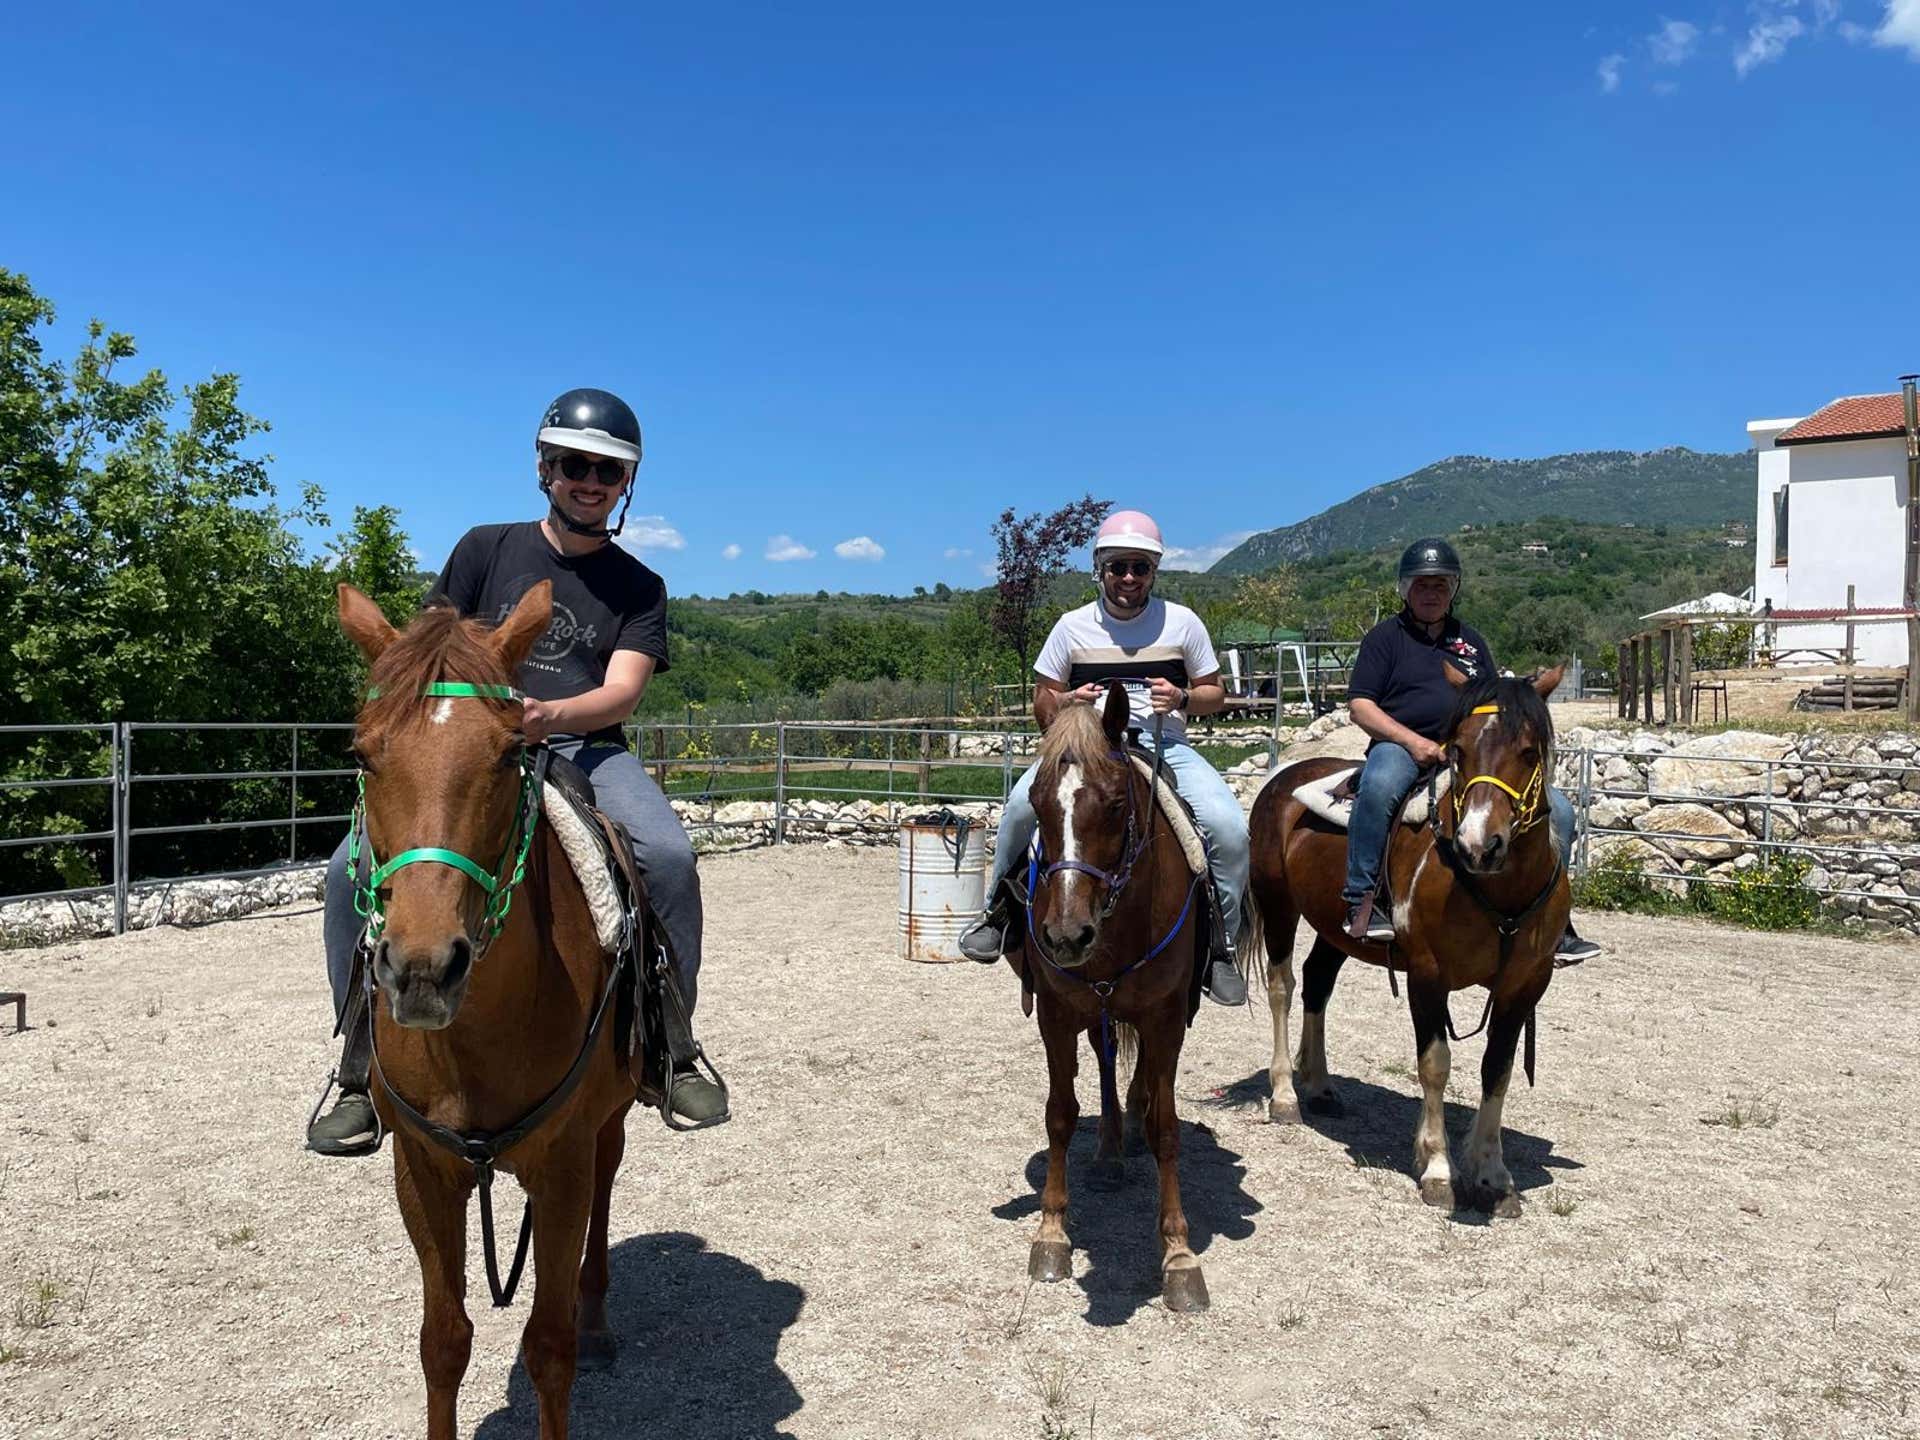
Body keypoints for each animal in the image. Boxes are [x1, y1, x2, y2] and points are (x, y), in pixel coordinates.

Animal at [338, 581, 640, 1440]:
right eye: (362, 753)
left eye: (509, 754)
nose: (422, 969)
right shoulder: (421, 1169)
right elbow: (443, 1340)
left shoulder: (563, 1168)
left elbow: (549, 1347)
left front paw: (576, 1333)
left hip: (607, 1126)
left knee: (608, 1188)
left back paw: (600, 1318)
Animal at [1013, 683, 1215, 1311]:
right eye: (1036, 803)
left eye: (1116, 804)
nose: (1065, 935)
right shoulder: (1056, 1015)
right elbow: (1059, 1115)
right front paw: (1051, 1232)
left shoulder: (1166, 1017)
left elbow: (1168, 1128)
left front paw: (1179, 1256)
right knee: (1106, 1066)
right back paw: (1108, 1149)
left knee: (1141, 1078)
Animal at [1238, 665, 1569, 1216]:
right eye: (1457, 750)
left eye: (1529, 751)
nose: (1479, 846)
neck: (1496, 890)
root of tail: (1281, 781)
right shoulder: (1427, 975)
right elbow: (1434, 1064)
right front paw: (1437, 1168)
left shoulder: (1524, 985)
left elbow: (1497, 1070)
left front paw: (1492, 1175)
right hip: (1279, 906)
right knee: (1283, 987)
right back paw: (1285, 1094)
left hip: (1337, 930)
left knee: (1316, 984)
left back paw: (1320, 1086)